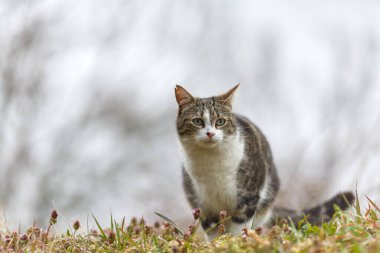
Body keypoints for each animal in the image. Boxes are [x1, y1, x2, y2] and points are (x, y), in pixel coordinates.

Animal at [174, 84, 354, 241]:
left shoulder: (248, 199)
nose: (210, 133)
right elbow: (212, 231)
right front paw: (216, 244)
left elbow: (239, 227)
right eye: (197, 121)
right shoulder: (204, 206)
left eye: (220, 121)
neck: (212, 165)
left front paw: (235, 242)